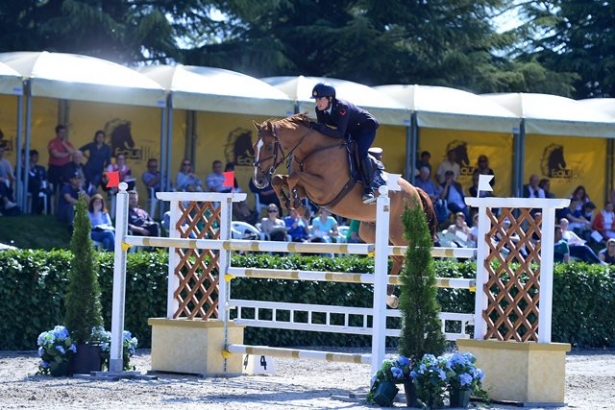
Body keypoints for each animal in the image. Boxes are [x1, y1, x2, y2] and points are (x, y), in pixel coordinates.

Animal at [251, 113, 438, 306]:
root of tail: (414, 190)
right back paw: (389, 296)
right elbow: (281, 180)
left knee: (412, 255)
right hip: (371, 232)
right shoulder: (309, 189)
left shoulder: (324, 189)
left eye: (269, 146)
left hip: (399, 232)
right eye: (254, 147)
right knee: (398, 257)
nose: (258, 181)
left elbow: (293, 177)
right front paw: (295, 205)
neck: (311, 150)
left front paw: (297, 205)